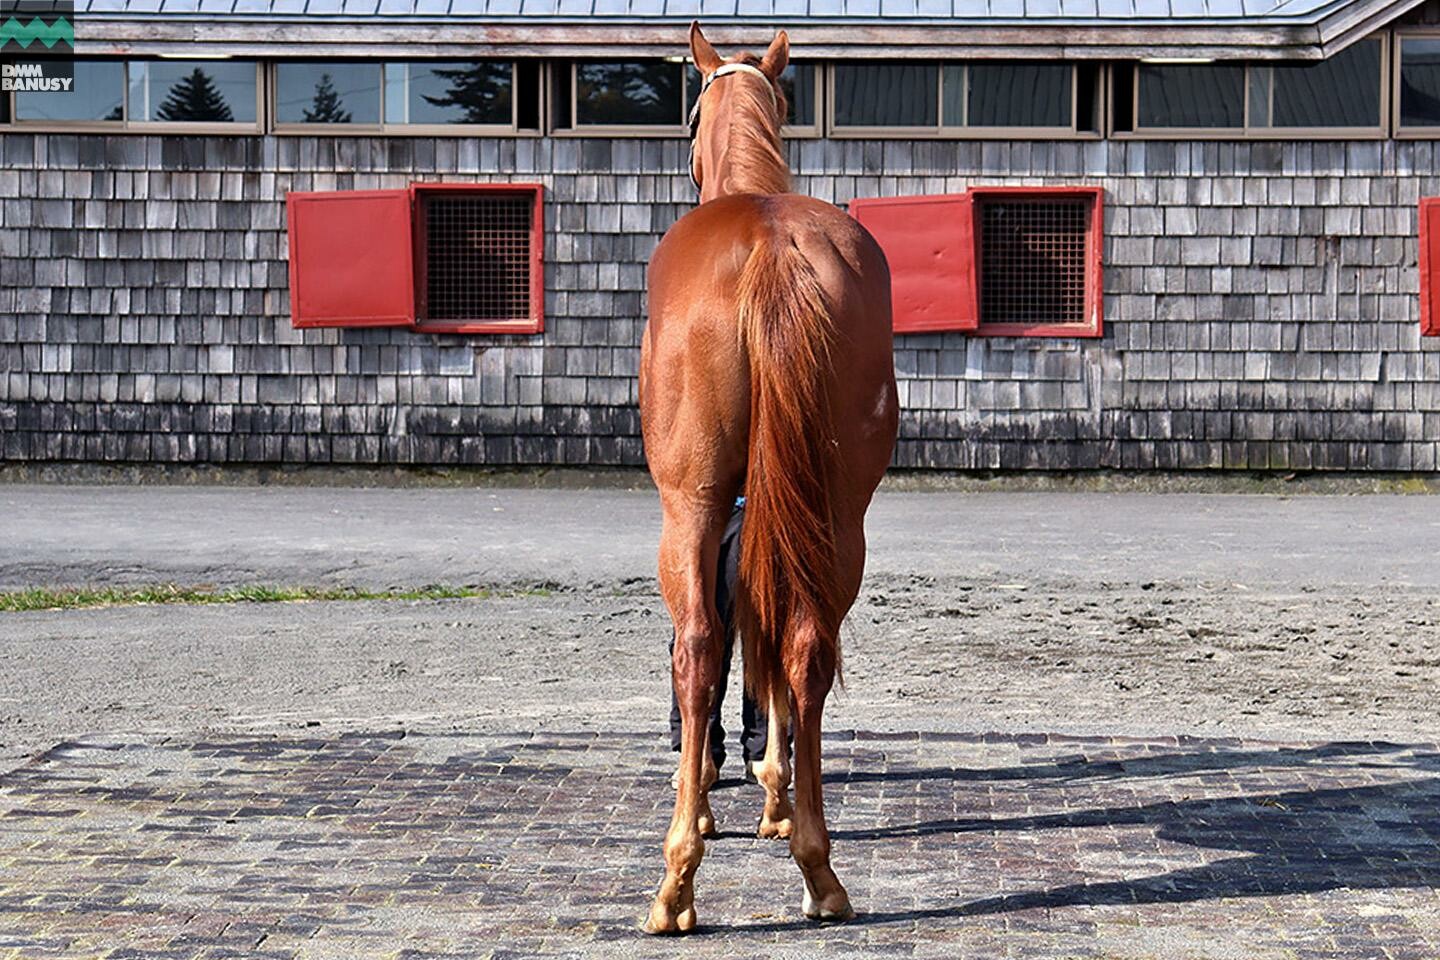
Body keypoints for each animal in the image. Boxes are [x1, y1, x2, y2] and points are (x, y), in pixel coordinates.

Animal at [636, 22, 892, 932]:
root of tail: (772, 245)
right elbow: (769, 637)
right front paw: (778, 796)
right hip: (838, 511)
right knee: (806, 644)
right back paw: (820, 869)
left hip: (691, 503)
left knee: (700, 645)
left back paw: (676, 881)